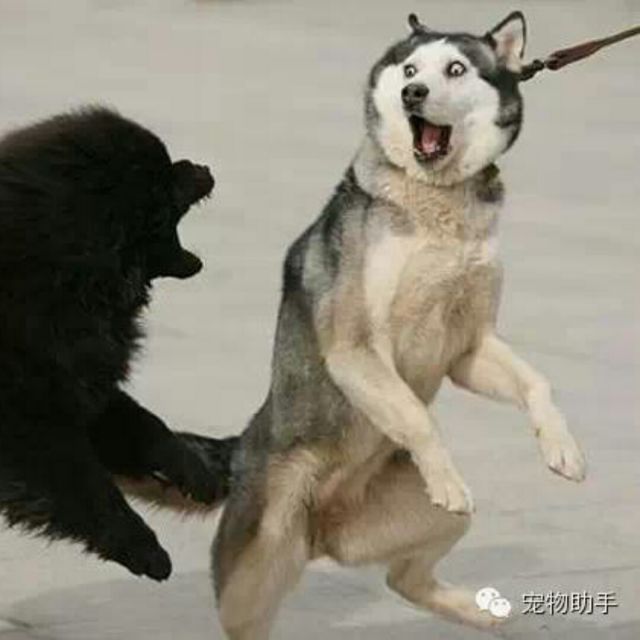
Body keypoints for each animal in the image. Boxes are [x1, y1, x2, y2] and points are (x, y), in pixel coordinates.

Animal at [0, 108, 237, 581]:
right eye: (163, 179)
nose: (202, 167)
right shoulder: (32, 423)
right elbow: (89, 488)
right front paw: (144, 550)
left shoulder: (80, 388)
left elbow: (147, 428)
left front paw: (194, 471)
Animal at [209, 11, 587, 638]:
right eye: (409, 71)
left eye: (455, 69)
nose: (415, 94)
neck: (438, 204)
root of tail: (322, 532)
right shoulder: (357, 346)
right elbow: (415, 415)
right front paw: (447, 476)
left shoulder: (469, 346)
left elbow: (538, 383)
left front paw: (563, 449)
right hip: (259, 559)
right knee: (249, 616)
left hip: (426, 520)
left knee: (402, 578)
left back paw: (475, 610)